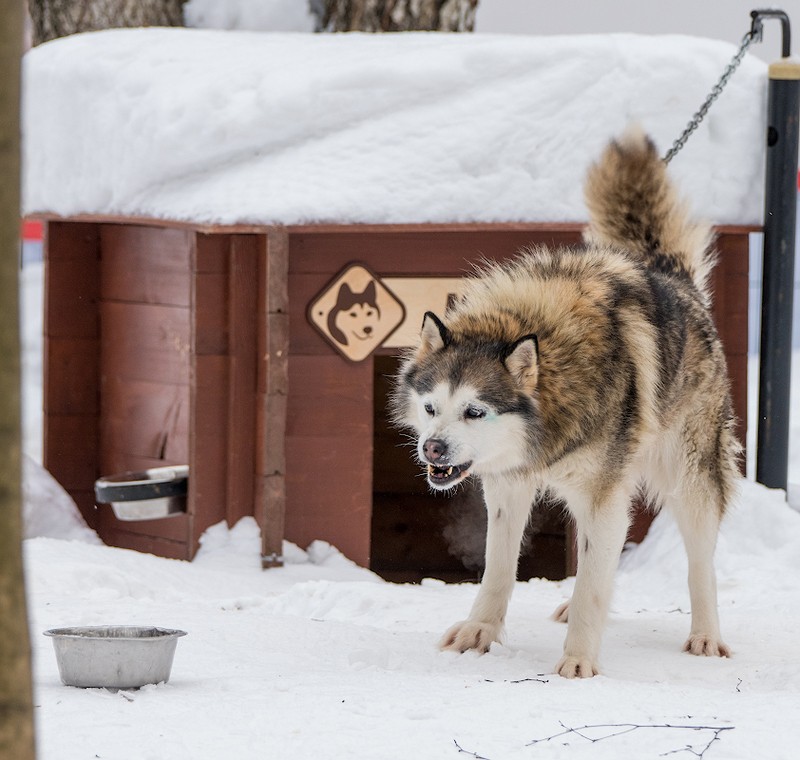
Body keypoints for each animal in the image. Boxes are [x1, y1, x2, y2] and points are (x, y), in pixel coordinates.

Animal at [390, 129, 740, 676]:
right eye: (431, 408)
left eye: (474, 411)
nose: (433, 450)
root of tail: (672, 277)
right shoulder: (508, 489)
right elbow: (498, 571)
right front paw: (478, 633)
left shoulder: (601, 498)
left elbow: (594, 587)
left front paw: (578, 661)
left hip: (689, 480)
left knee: (699, 564)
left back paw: (705, 636)